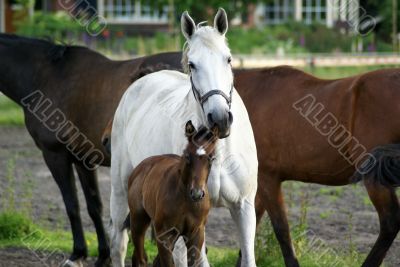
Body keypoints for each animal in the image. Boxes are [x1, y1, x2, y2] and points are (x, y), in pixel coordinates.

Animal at [0, 33, 181, 266]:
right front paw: (102, 255)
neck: (47, 75)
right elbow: (94, 206)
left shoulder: (55, 156)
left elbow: (72, 205)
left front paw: (78, 253)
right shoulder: (82, 159)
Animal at [127, 122, 217, 267]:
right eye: (187, 155)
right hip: (138, 221)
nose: (197, 194)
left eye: (212, 158)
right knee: (141, 259)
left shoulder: (196, 234)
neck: (185, 199)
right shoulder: (165, 235)